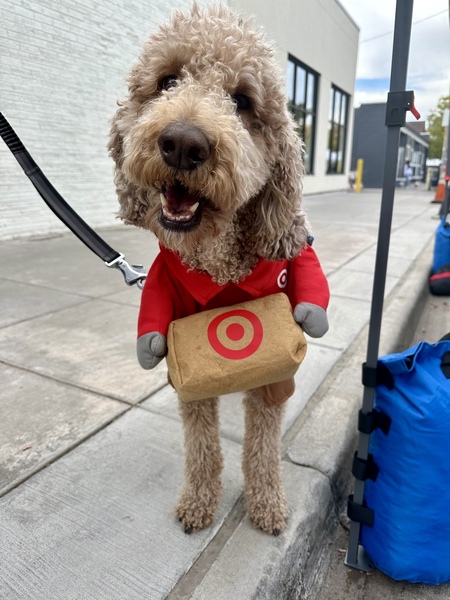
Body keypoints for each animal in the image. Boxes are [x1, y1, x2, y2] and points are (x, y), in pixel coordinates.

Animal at [108, 0, 326, 536]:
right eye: (167, 81)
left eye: (243, 101)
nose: (183, 143)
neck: (218, 259)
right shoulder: (185, 363)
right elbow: (202, 442)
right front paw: (199, 501)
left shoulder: (272, 376)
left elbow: (263, 443)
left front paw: (266, 501)